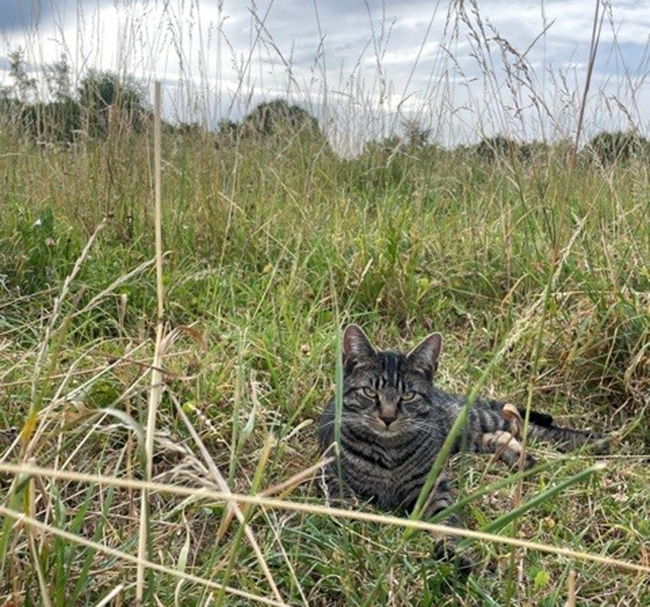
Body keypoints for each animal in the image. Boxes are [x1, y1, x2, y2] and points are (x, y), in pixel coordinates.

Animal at [316, 328, 604, 568]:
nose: (387, 417)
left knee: (525, 426)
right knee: (501, 434)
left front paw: (453, 551)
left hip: (471, 421)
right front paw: (349, 518)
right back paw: (520, 457)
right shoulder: (328, 470)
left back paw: (591, 440)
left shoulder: (434, 486)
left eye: (407, 395)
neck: (389, 451)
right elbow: (340, 494)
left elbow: (445, 520)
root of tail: (449, 395)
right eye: (369, 392)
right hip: (465, 438)